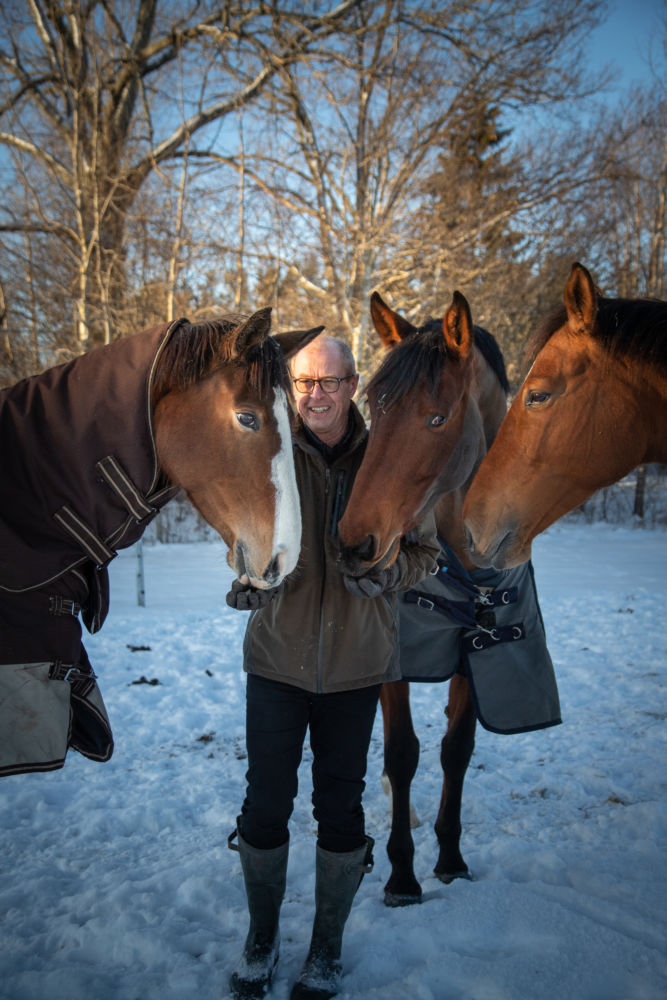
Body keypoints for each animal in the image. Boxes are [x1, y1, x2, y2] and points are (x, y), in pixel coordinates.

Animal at [336, 290, 516, 908]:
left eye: (437, 417)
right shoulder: (395, 659)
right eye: (375, 405)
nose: (355, 544)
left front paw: (452, 859)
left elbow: (455, 749)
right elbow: (402, 752)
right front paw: (401, 876)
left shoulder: (472, 648)